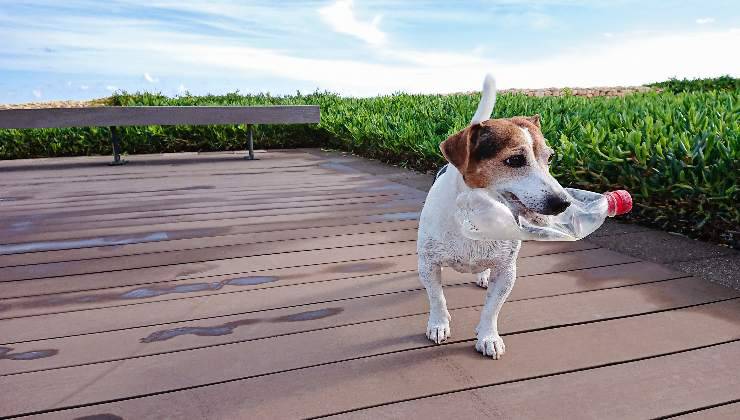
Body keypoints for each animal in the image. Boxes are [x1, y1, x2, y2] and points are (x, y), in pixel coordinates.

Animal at [416, 74, 572, 360]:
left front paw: (488, 337)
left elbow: (492, 308)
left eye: (550, 158)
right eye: (515, 160)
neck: (478, 217)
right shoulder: (429, 265)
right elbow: (437, 298)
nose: (563, 202)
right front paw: (439, 324)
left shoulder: (506, 272)